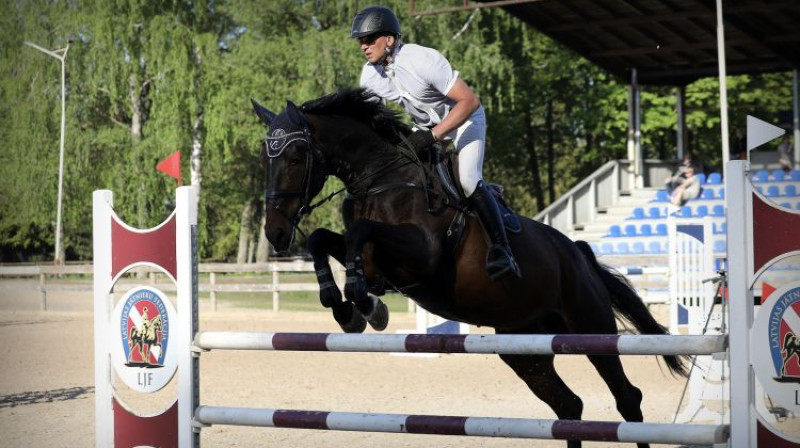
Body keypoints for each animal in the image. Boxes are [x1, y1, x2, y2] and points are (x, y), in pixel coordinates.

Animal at [252, 88, 688, 448]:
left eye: (296, 157)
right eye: (264, 159)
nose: (275, 233)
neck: (382, 180)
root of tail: (579, 253)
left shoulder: (422, 254)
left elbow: (360, 233)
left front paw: (361, 299)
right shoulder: (378, 254)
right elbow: (321, 240)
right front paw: (347, 306)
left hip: (590, 328)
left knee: (626, 399)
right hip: (524, 348)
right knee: (568, 407)